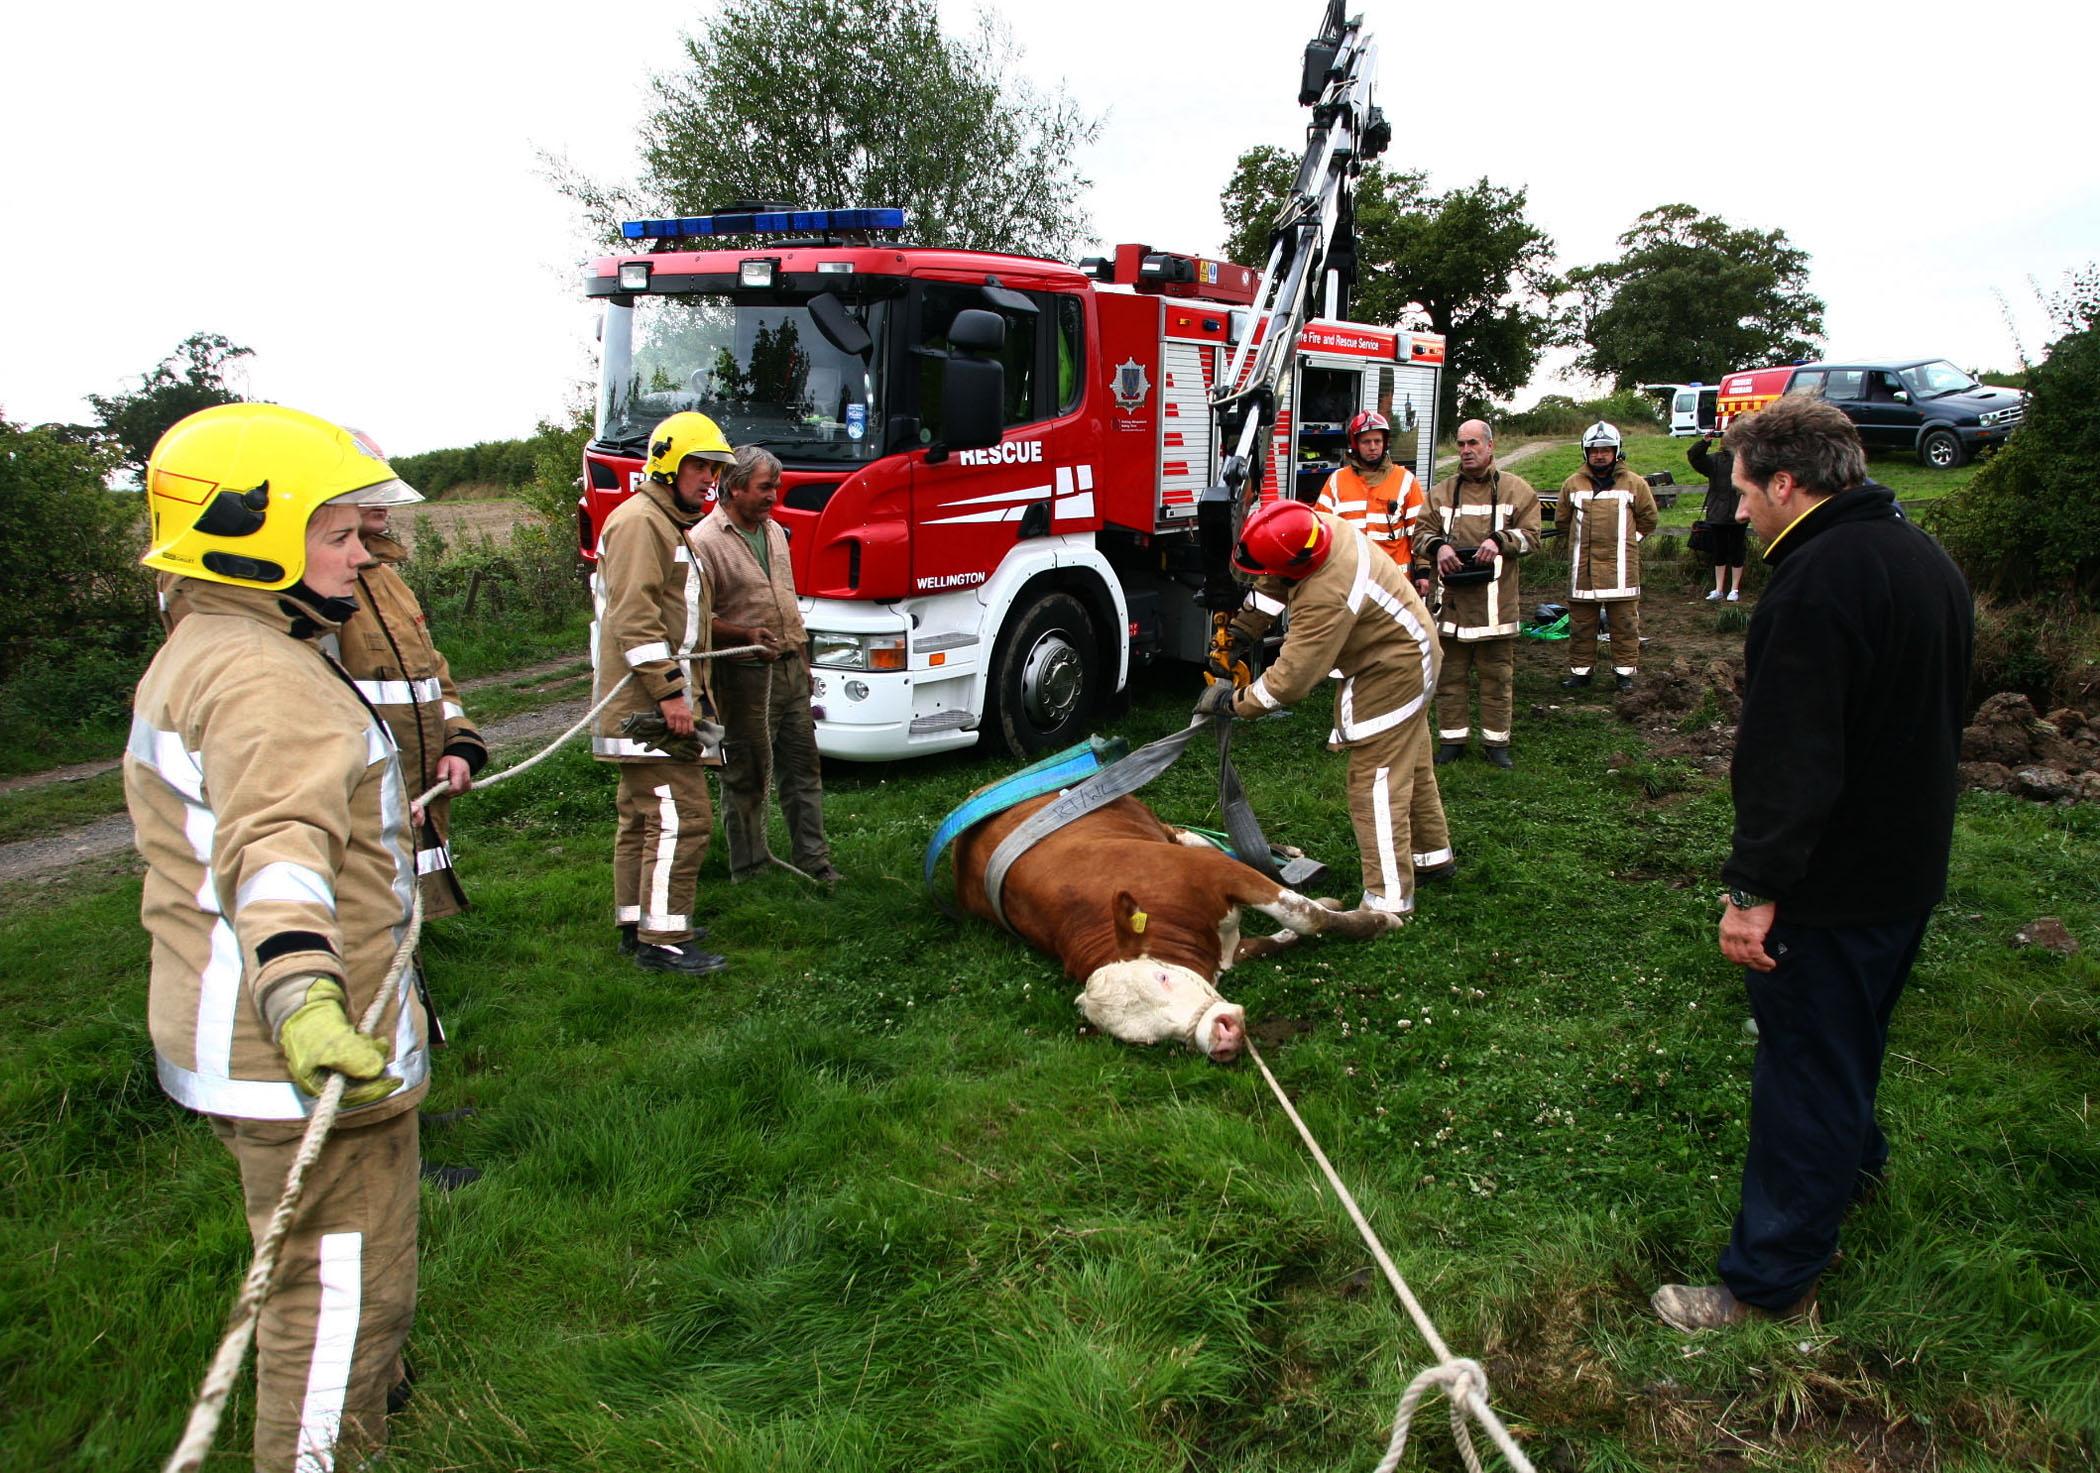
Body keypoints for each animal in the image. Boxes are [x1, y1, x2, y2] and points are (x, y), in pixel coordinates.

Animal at [953, 792, 1403, 1062]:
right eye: (1150, 1041)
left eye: (1162, 976)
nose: (1221, 1037)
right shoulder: (1225, 948)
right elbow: (1274, 939)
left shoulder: (1216, 871)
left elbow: (1304, 915)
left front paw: (1377, 920)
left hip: (1170, 834)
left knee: (1203, 838)